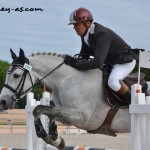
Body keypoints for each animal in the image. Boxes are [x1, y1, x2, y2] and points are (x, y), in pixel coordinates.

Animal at [0, 49, 131, 149]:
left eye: (16, 75)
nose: (3, 101)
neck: (66, 80)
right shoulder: (68, 116)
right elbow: (47, 111)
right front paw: (56, 140)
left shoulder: (82, 118)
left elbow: (38, 109)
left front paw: (45, 134)